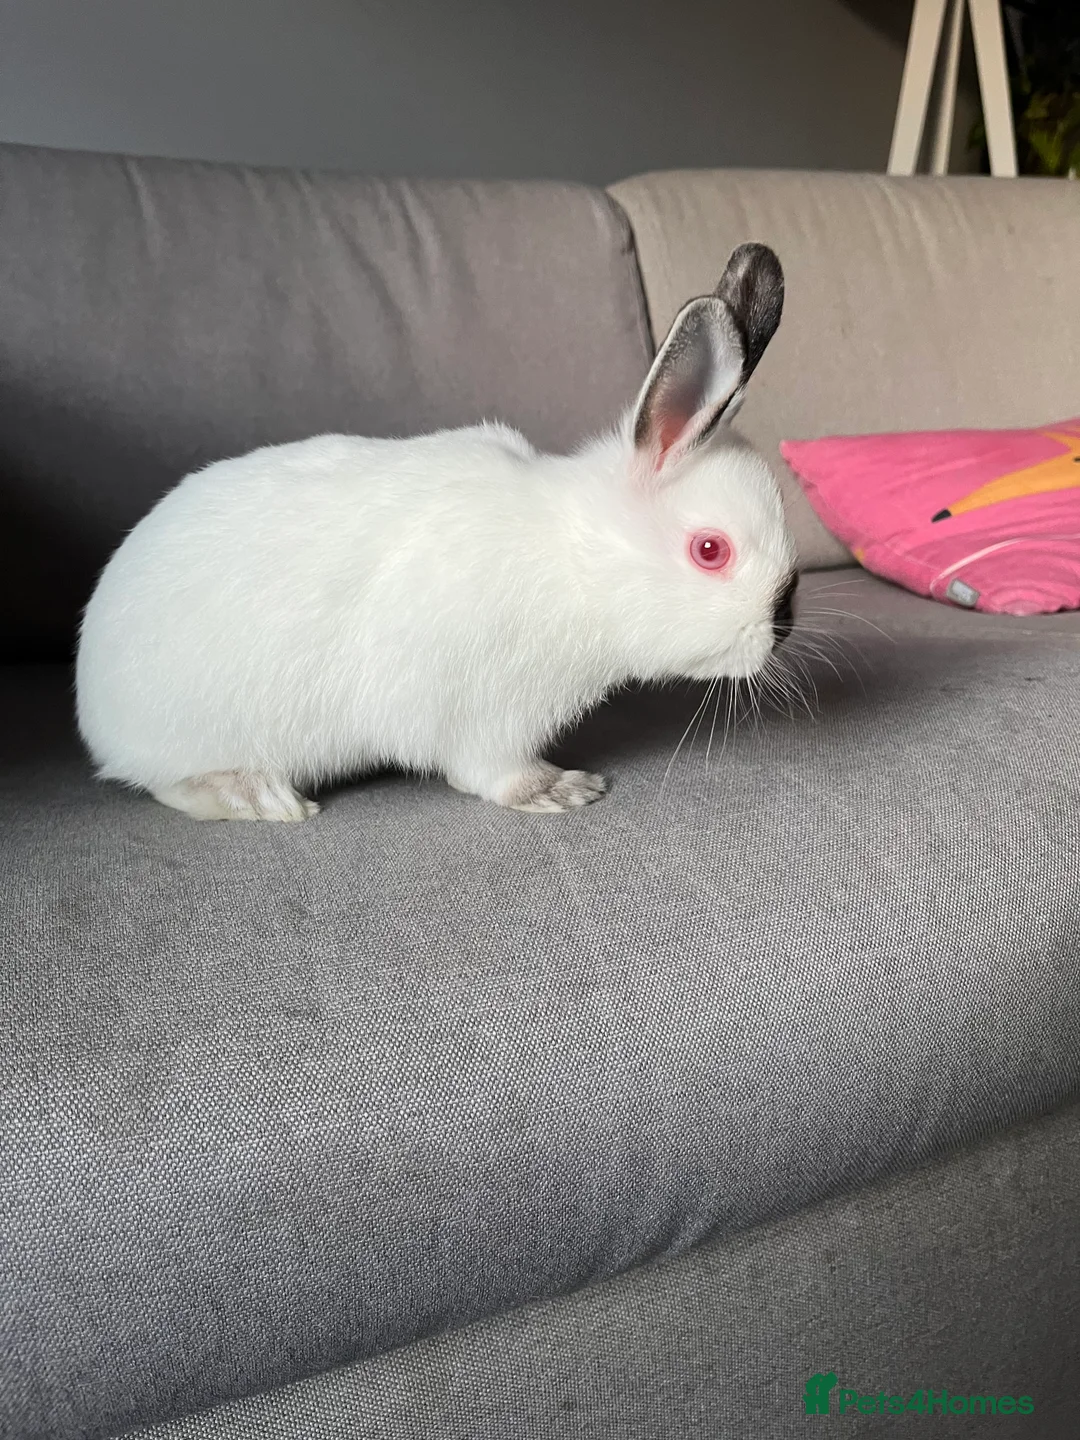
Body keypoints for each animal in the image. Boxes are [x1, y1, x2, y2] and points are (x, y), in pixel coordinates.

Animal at [76, 243, 797, 822]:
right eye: (711, 550)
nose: (783, 625)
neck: (575, 560)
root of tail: (93, 704)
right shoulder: (481, 715)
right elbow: (490, 771)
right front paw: (560, 790)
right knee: (168, 783)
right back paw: (258, 797)